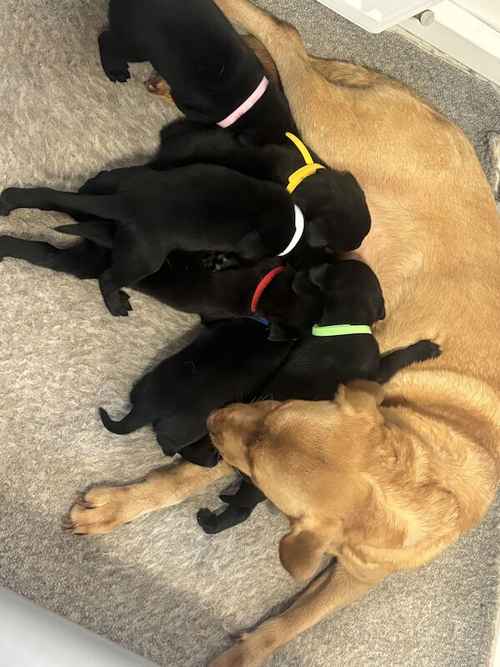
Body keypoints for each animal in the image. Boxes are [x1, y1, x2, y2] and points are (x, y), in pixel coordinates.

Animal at [197, 260, 440, 532]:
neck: (342, 322)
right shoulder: (375, 372)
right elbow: (396, 358)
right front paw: (425, 349)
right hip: (256, 487)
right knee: (240, 510)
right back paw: (209, 519)